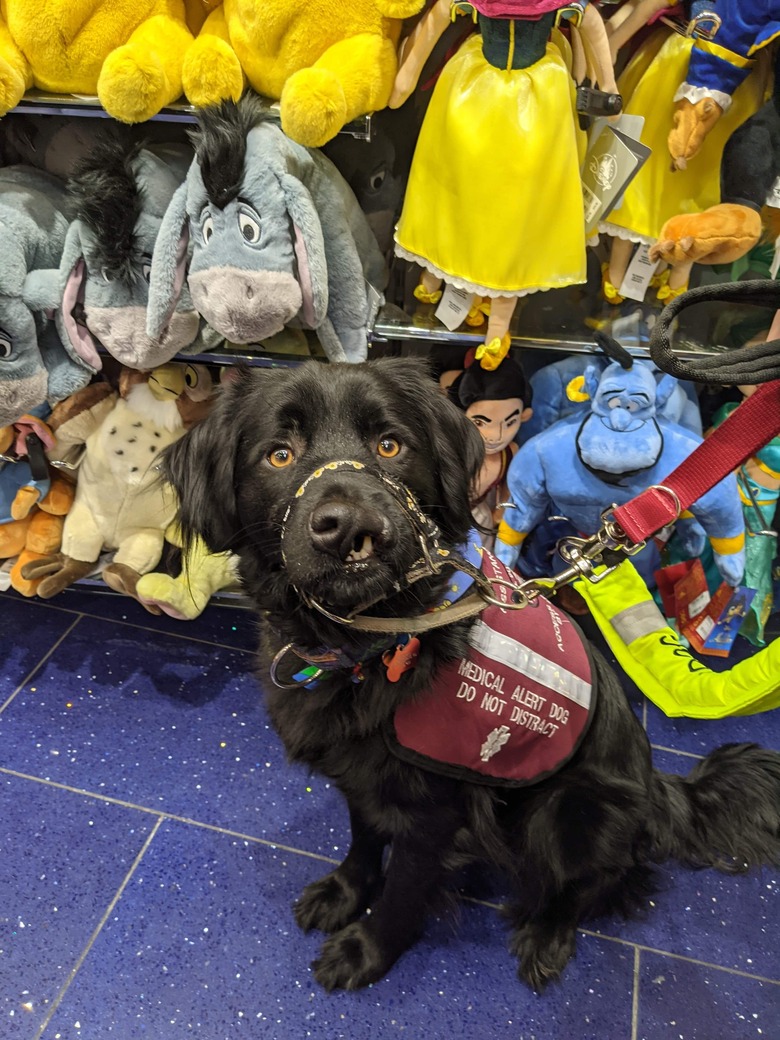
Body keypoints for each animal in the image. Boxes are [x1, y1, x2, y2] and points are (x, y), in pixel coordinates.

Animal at [163, 357, 780, 990]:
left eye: (390, 445)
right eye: (280, 455)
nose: (352, 530)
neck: (375, 644)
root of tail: (659, 788)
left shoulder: (434, 810)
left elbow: (403, 890)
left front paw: (367, 949)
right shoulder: (362, 777)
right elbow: (363, 842)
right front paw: (345, 893)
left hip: (566, 812)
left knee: (590, 883)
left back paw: (546, 937)